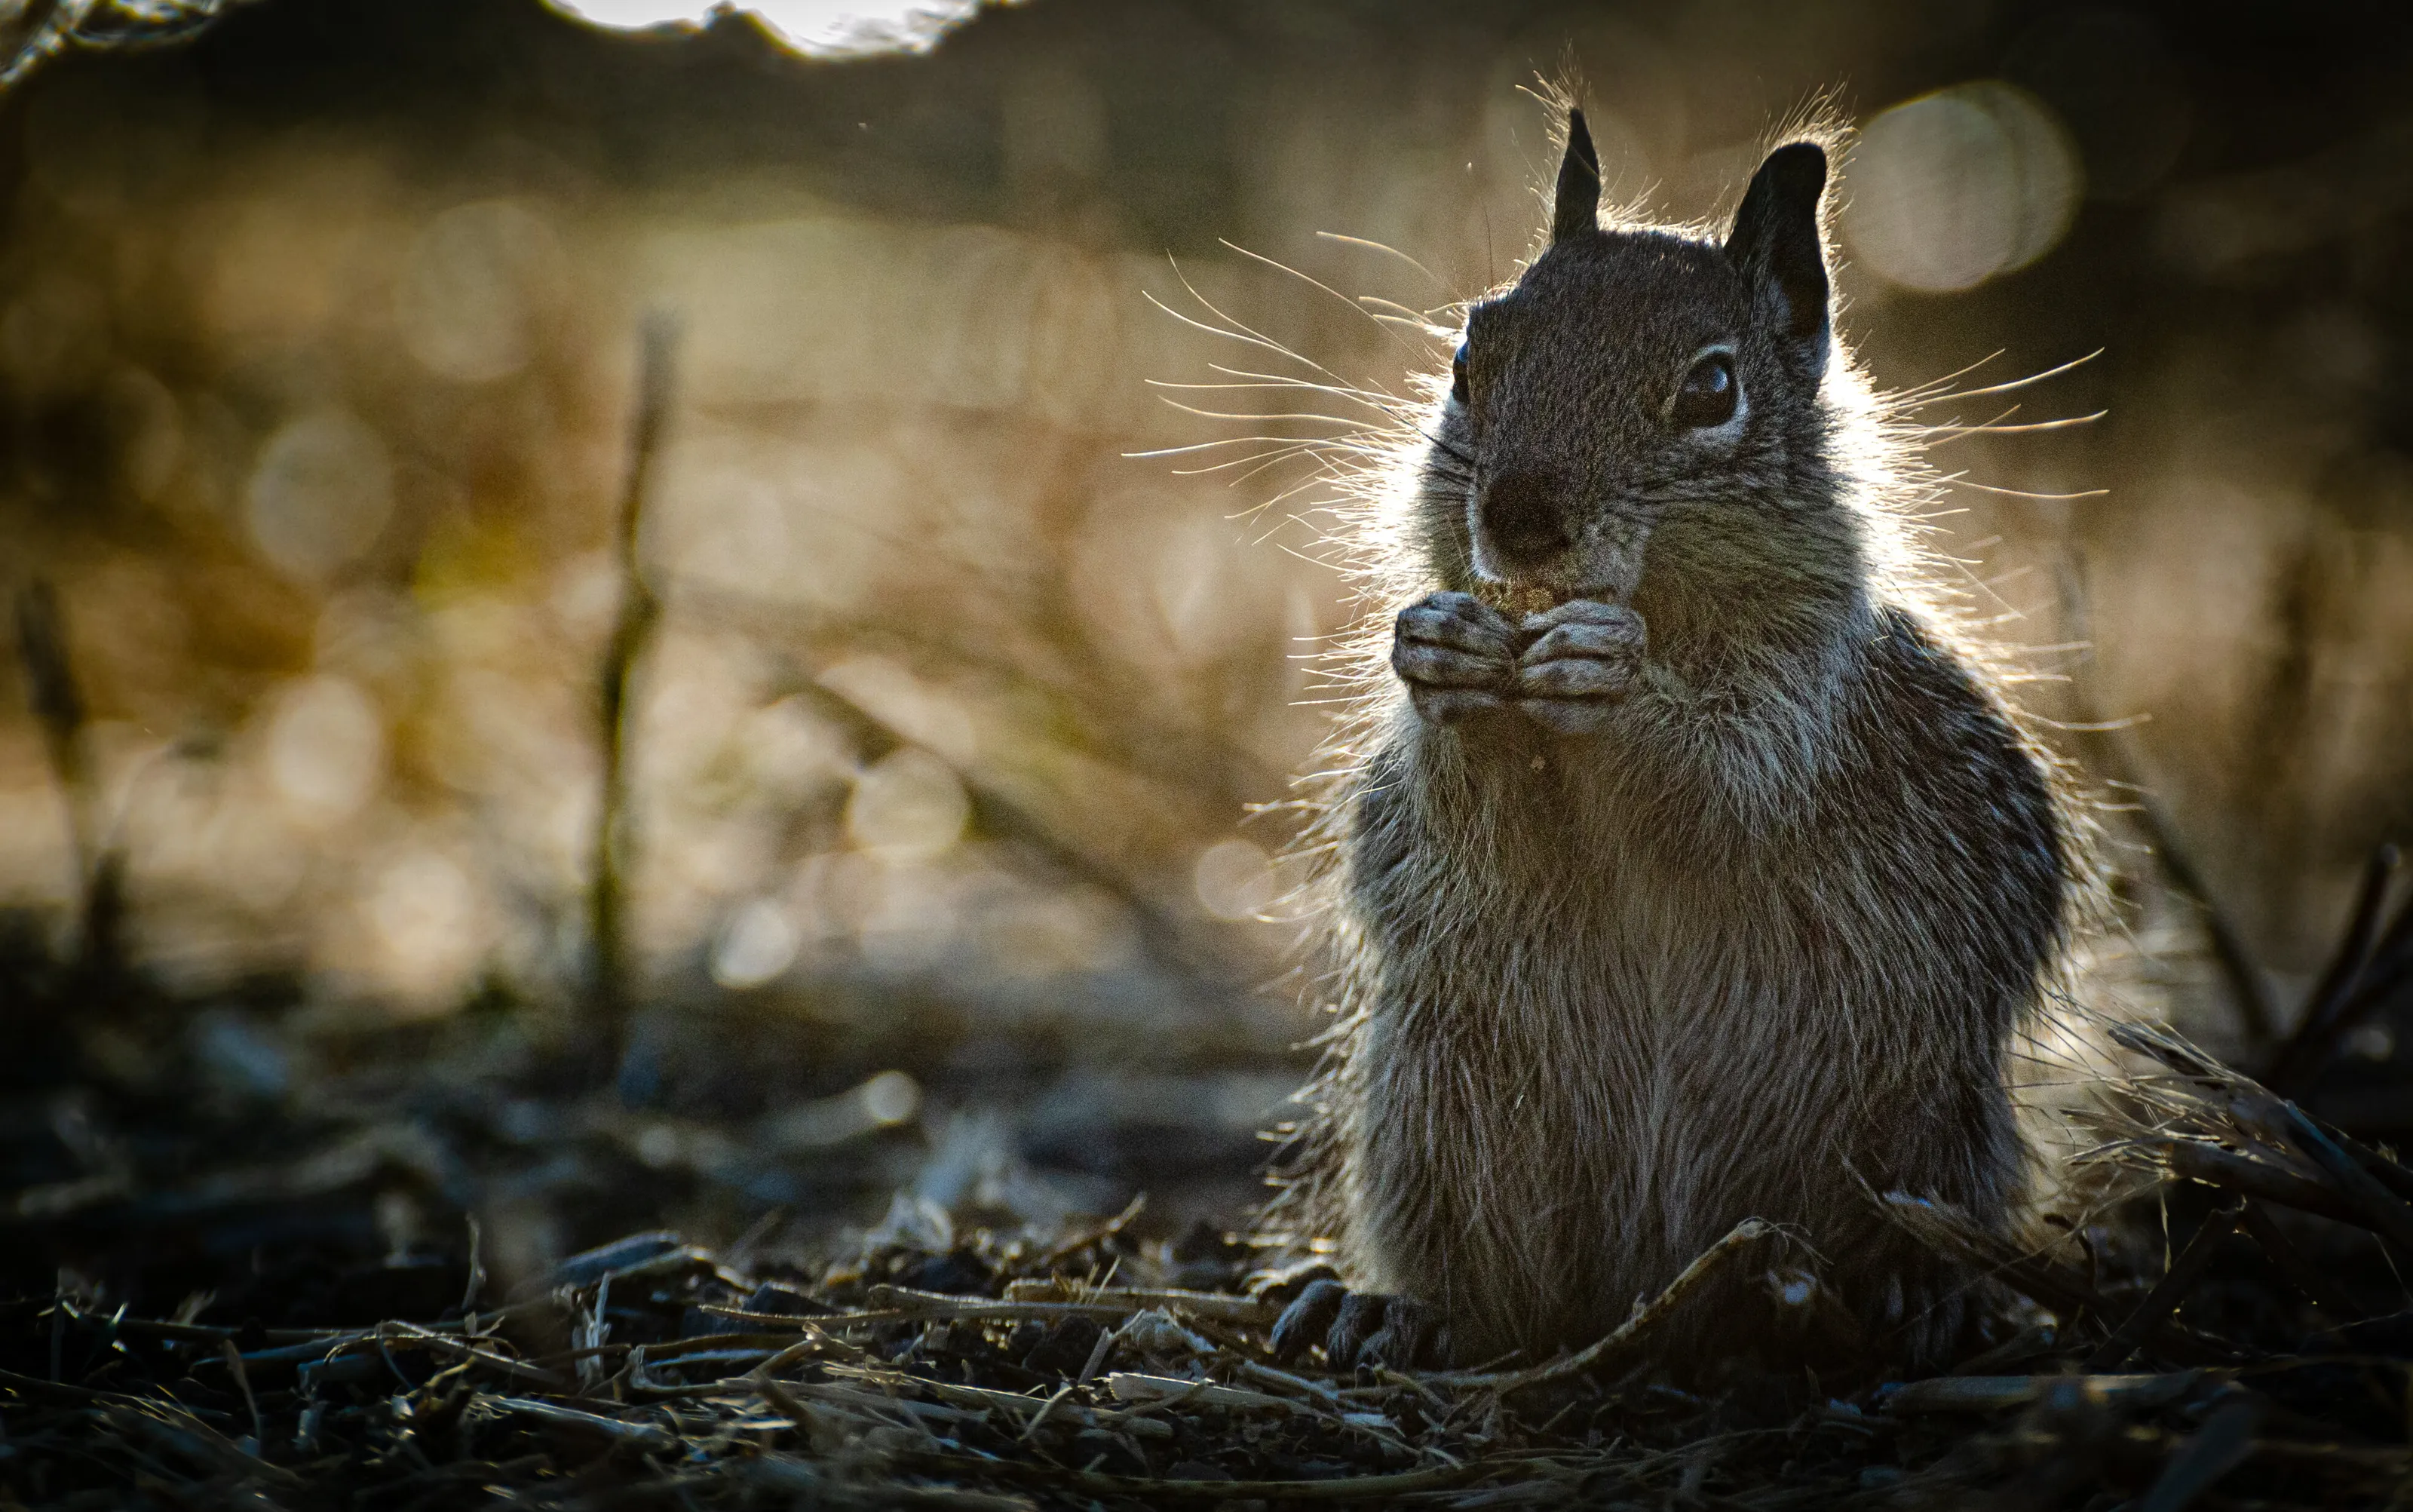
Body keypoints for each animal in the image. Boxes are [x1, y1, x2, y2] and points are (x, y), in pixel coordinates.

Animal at [1264, 109, 2081, 1374]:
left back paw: (1917, 1294)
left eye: (1712, 388)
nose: (1519, 518)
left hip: (1917, 1118)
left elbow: (1723, 786)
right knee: (1508, 1292)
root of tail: (1666, 1274)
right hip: (1444, 1102)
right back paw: (1396, 1308)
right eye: (1467, 360)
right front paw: (1441, 653)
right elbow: (1442, 814)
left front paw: (1616, 685)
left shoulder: (1798, 703)